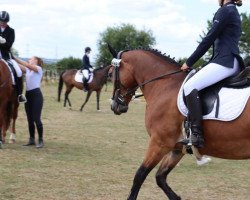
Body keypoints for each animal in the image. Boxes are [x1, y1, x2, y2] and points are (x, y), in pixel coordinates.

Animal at [108, 45, 250, 200]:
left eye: (109, 74)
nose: (115, 106)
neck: (165, 85)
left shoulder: (159, 143)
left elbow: (139, 175)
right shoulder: (177, 147)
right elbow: (160, 177)